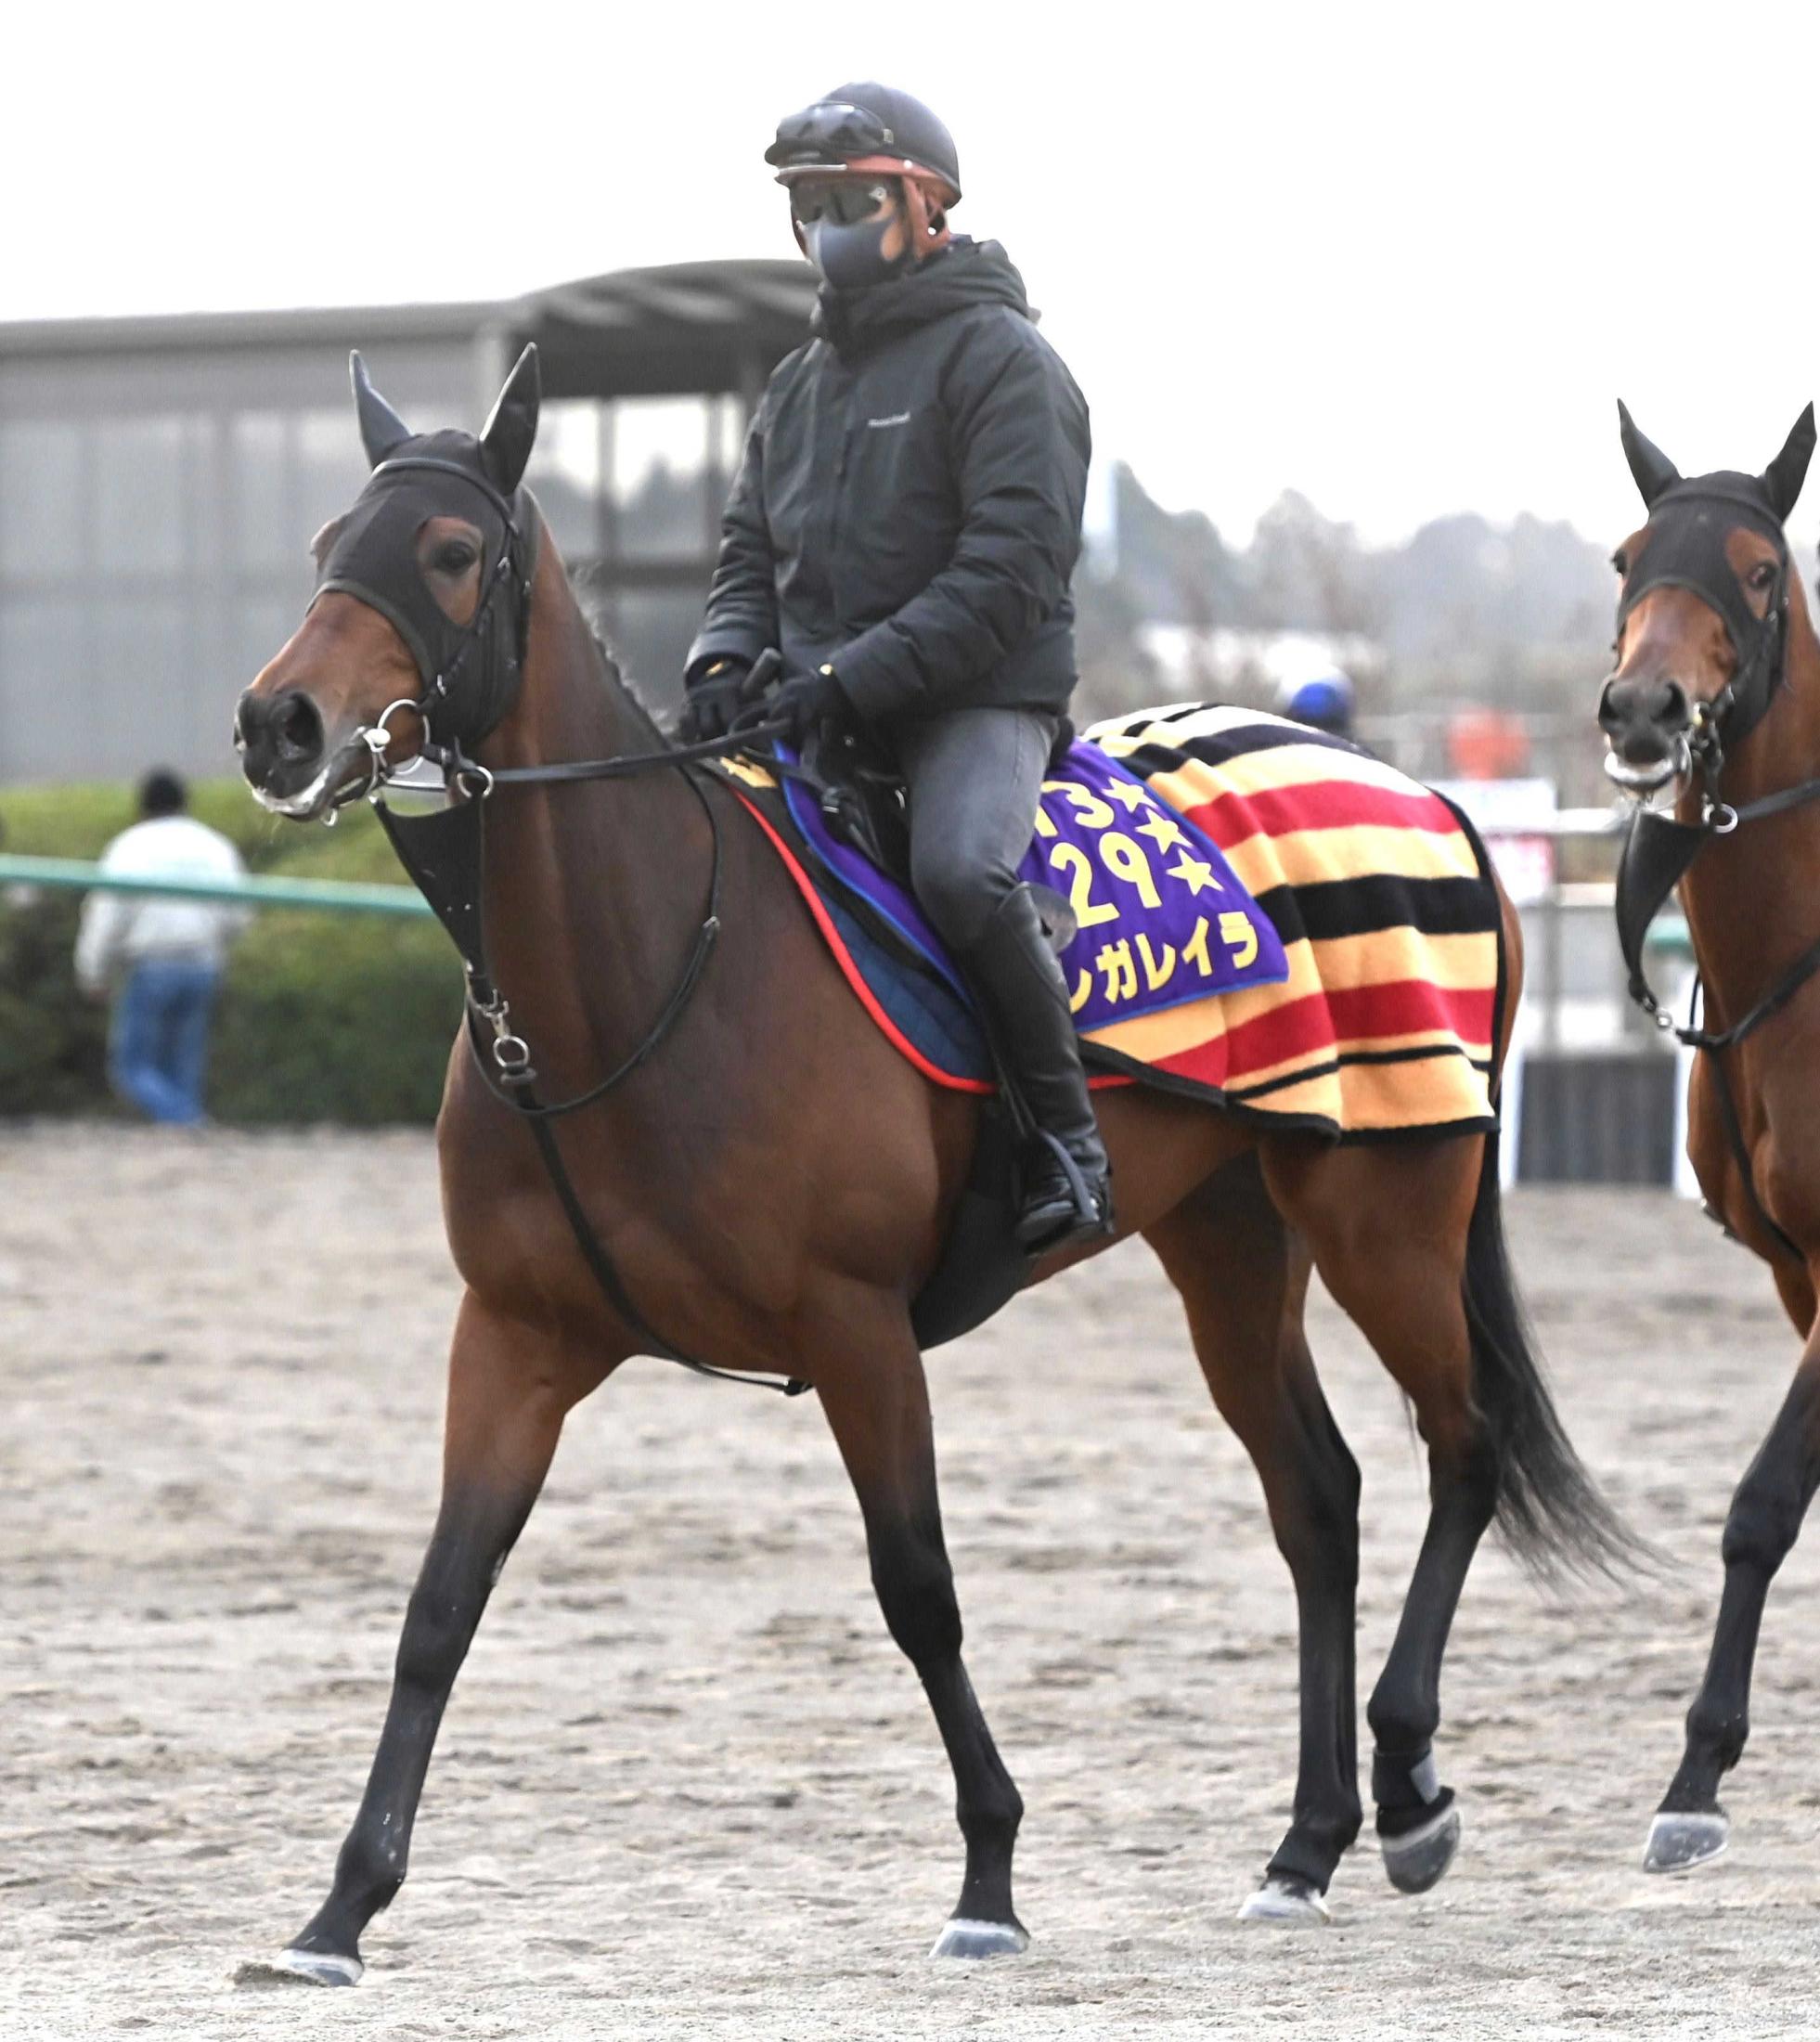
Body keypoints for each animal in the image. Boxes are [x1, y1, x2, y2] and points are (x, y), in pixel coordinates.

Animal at [230, 344, 1625, 1985]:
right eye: (330, 544)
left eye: (450, 553)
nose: (279, 723)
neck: (641, 968)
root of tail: (1426, 794)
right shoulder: (517, 1334)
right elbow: (441, 1605)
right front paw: (338, 1908)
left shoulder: (856, 1328)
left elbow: (919, 1594)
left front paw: (990, 1878)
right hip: (1230, 1234)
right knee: (1319, 1499)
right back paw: (1306, 1843)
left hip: (1387, 1208)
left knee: (1461, 1447)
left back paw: (1406, 1786)